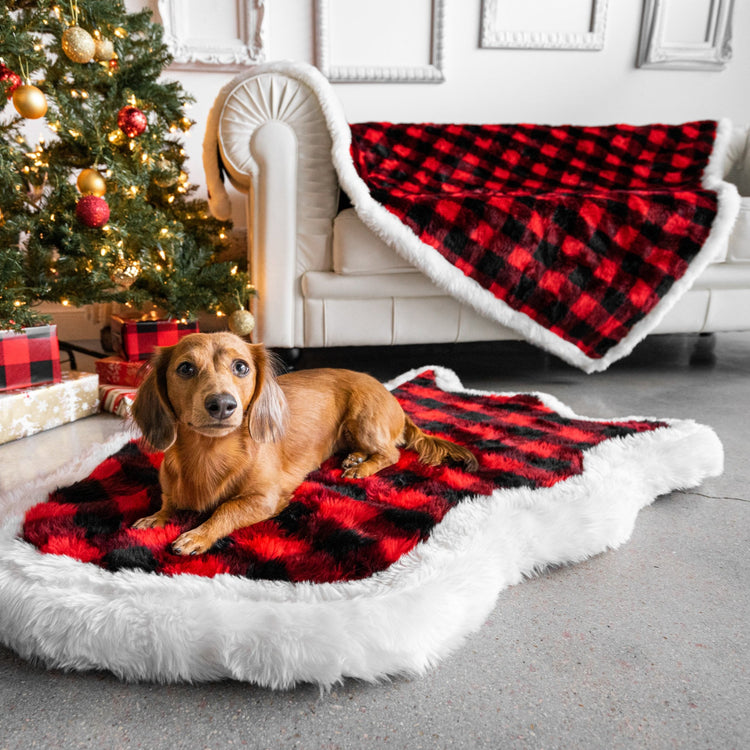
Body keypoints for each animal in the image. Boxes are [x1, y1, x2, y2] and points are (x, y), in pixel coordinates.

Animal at [131, 332, 476, 556]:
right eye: (185, 368)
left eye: (241, 366)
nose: (222, 405)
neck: (209, 454)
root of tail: (394, 401)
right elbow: (168, 502)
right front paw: (155, 518)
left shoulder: (265, 498)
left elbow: (226, 508)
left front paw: (197, 534)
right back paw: (355, 458)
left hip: (363, 419)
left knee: (391, 452)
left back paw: (362, 468)